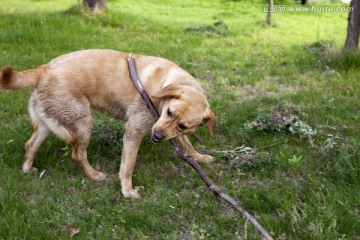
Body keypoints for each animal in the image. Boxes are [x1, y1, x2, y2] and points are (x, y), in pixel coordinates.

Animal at [0, 49, 215, 199]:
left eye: (182, 126)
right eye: (169, 112)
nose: (158, 136)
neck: (165, 84)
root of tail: (42, 70)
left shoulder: (171, 130)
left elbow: (187, 144)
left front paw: (200, 157)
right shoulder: (134, 130)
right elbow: (128, 166)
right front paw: (127, 191)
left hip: (49, 123)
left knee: (30, 145)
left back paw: (27, 169)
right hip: (82, 123)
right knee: (77, 155)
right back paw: (93, 175)